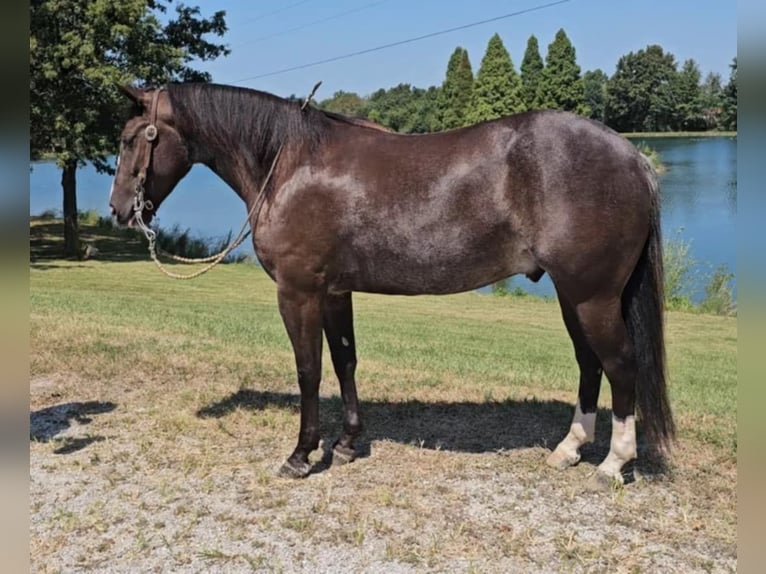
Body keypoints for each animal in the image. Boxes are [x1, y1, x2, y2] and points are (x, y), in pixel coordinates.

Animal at [109, 83, 674, 486]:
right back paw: (569, 450)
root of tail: (635, 159)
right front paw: (346, 444)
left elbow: (309, 370)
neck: (290, 162)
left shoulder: (298, 292)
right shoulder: (334, 292)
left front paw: (302, 454)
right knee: (589, 364)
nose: (119, 211)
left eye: (130, 139)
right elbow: (344, 360)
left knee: (620, 365)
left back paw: (613, 464)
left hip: (591, 296)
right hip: (573, 296)